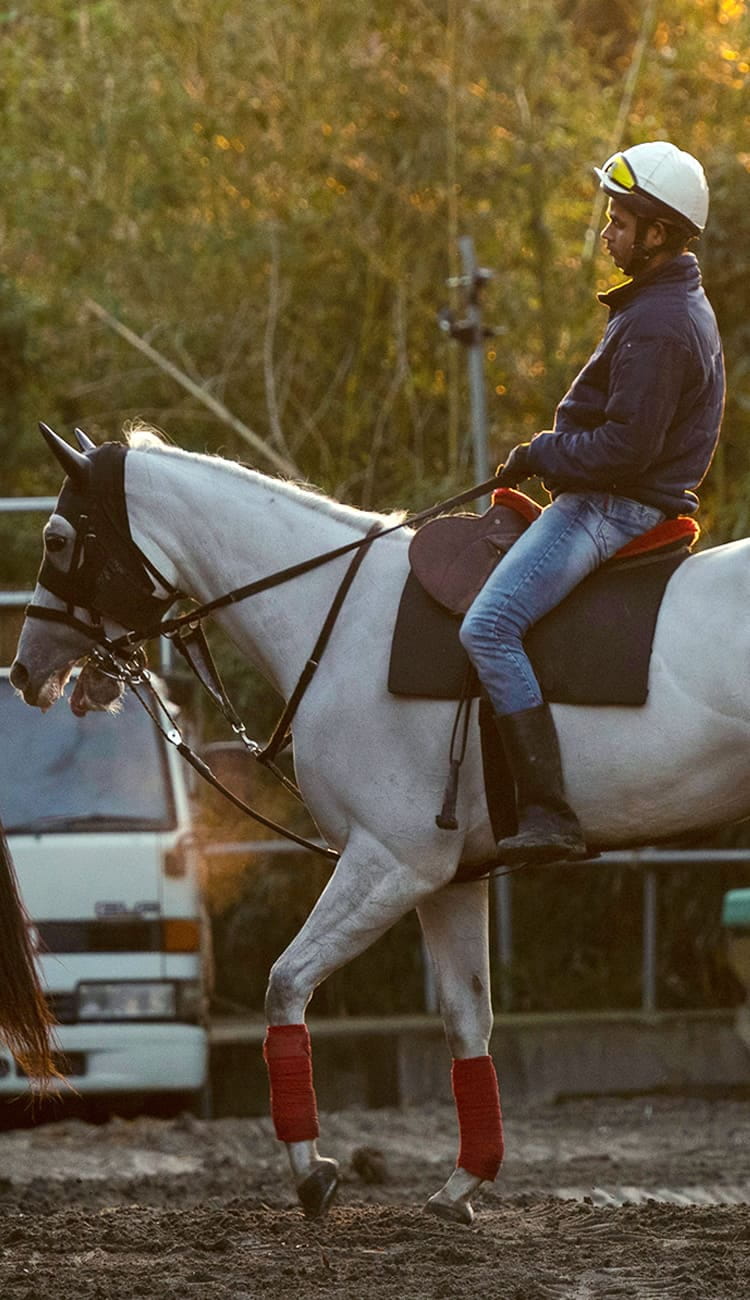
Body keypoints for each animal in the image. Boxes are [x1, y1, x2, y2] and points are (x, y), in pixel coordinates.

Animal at [11, 428, 750, 1227]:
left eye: (57, 539)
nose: (25, 671)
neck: (337, 623)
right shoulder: (449, 880)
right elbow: (466, 1020)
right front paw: (463, 1185)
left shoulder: (391, 862)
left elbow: (285, 984)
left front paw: (312, 1172)